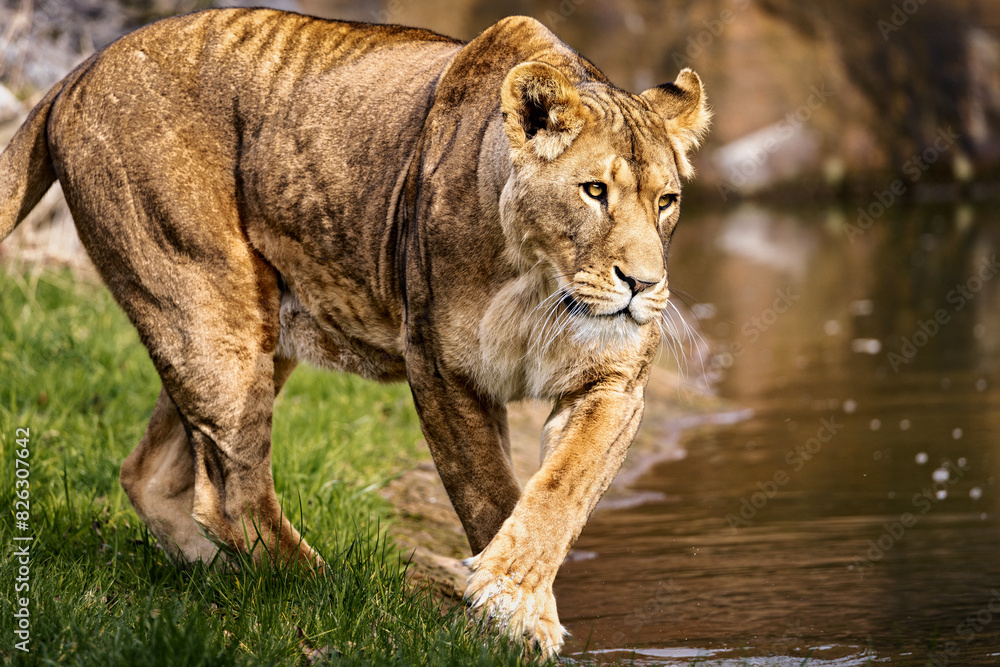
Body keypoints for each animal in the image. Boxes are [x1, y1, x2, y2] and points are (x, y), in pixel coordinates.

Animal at [0, 8, 709, 656]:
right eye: (593, 191)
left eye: (666, 202)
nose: (644, 284)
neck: (539, 285)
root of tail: (82, 70)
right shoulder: (441, 371)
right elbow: (489, 493)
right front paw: (510, 613)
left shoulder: (613, 382)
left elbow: (561, 493)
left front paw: (517, 602)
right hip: (209, 308)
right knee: (232, 494)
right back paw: (325, 589)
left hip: (237, 328)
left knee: (151, 474)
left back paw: (222, 578)